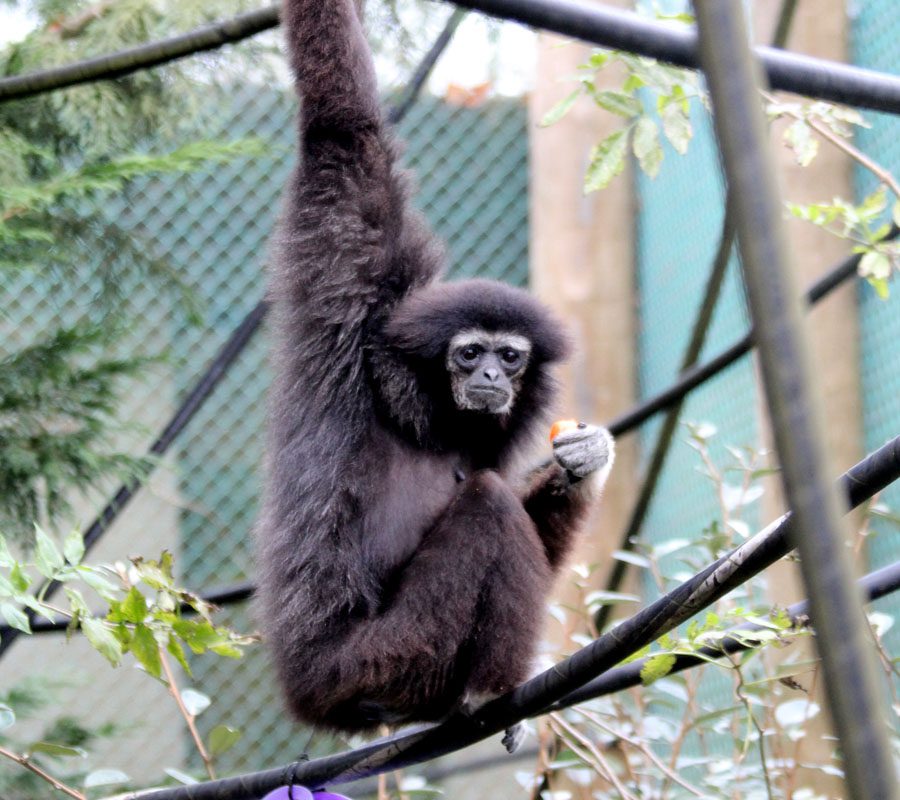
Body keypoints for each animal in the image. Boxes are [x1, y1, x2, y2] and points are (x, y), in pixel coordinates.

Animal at [255, 0, 615, 752]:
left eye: (511, 356)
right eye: (469, 353)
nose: (492, 379)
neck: (419, 413)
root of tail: (308, 697)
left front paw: (586, 458)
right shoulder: (350, 297)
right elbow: (345, 133)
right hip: (380, 659)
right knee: (488, 507)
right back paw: (494, 689)